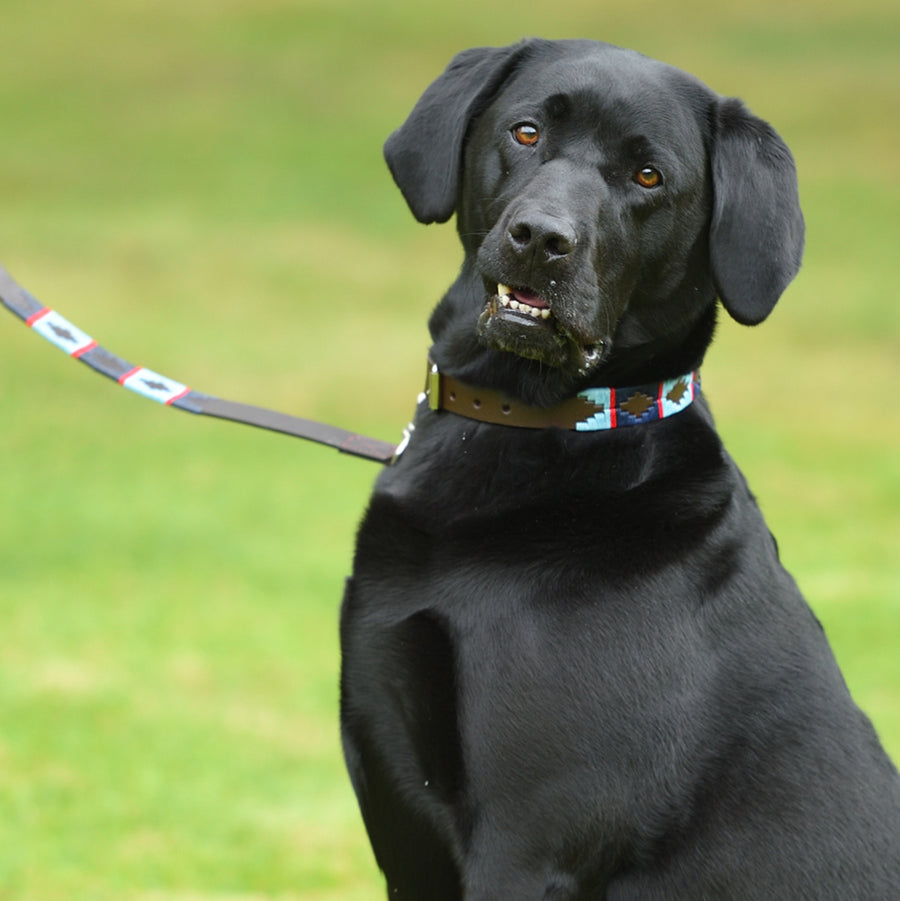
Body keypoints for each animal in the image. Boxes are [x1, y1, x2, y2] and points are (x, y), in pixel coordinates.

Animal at [340, 38, 900, 896]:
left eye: (648, 177)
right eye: (527, 131)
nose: (542, 238)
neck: (530, 419)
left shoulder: (529, 844)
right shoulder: (404, 828)